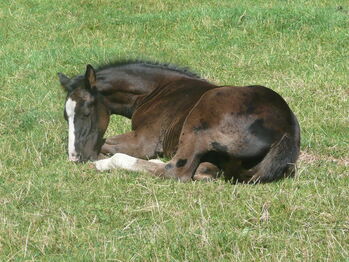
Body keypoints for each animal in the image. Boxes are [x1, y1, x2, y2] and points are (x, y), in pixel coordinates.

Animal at [59, 60, 300, 183]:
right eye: (66, 116)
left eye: (86, 112)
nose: (74, 157)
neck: (155, 91)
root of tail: (286, 131)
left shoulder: (144, 141)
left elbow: (105, 145)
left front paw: (99, 159)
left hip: (199, 124)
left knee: (177, 171)